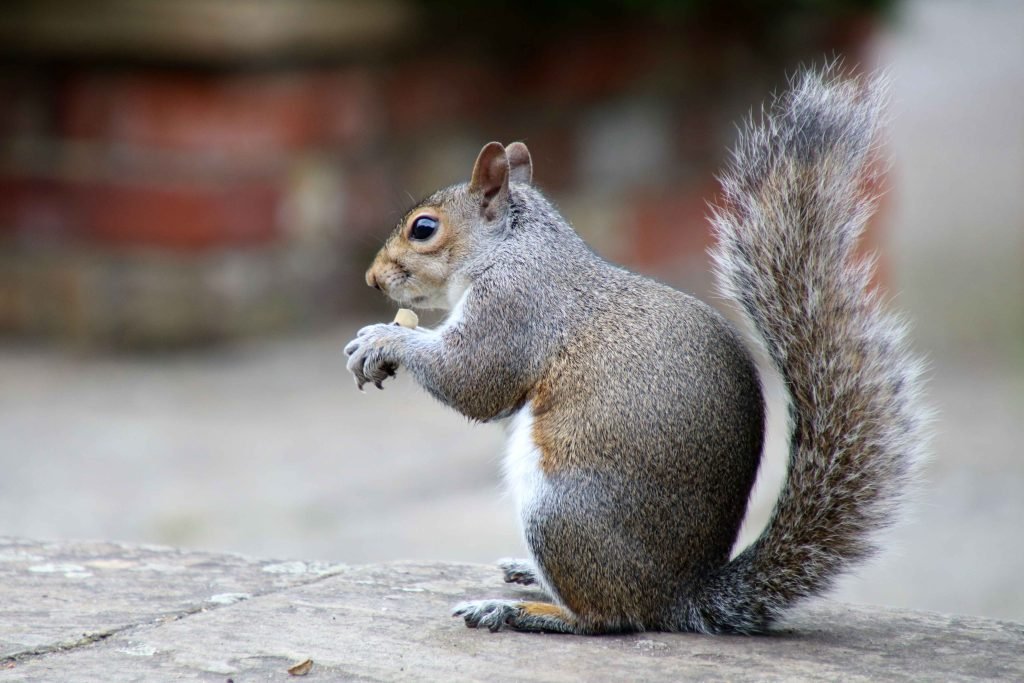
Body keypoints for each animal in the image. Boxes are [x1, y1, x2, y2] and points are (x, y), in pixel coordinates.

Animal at [344, 68, 928, 635]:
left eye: (424, 228)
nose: (371, 279)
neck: (514, 245)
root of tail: (680, 596)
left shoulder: (516, 306)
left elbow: (473, 380)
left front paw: (381, 339)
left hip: (560, 510)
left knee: (607, 616)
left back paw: (520, 611)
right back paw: (528, 577)